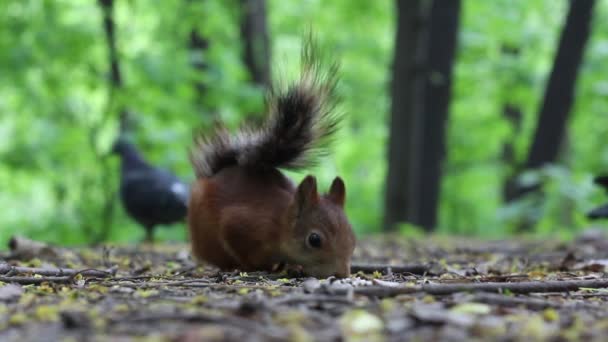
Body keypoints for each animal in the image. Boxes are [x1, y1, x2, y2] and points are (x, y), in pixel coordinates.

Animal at [188, 38, 354, 278]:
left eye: (352, 236)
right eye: (314, 240)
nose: (342, 273)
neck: (280, 223)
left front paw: (293, 266)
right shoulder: (240, 225)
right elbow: (240, 246)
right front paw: (255, 266)